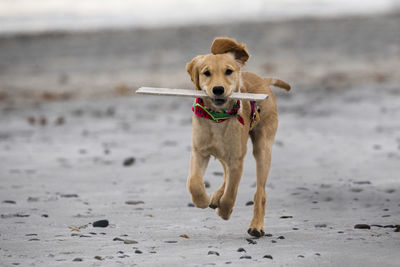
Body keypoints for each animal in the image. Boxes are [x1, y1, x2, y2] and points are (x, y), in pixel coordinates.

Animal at [184, 36, 290, 238]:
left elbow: (232, 192)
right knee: (225, 173)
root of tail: (263, 80)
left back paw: (256, 226)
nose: (218, 89)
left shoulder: (237, 158)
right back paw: (216, 196)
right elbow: (194, 182)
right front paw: (202, 200)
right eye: (206, 73)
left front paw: (225, 211)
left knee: (260, 192)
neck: (217, 118)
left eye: (228, 71)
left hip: (262, 148)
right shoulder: (199, 151)